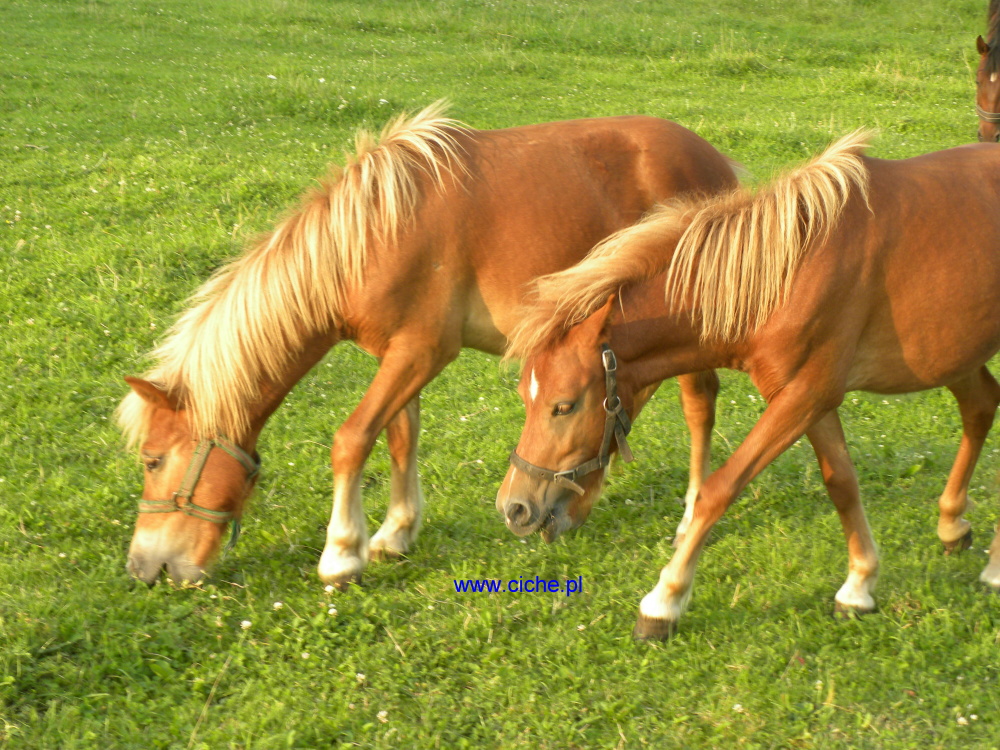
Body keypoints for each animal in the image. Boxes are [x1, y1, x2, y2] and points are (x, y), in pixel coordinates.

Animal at [116, 102, 740, 587]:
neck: (371, 236)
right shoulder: (396, 354)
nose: (143, 568)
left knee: (698, 404)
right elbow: (399, 437)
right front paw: (395, 532)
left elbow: (352, 440)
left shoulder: (421, 352)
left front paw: (341, 554)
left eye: (153, 461)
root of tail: (716, 161)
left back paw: (688, 514)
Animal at [500, 132, 1000, 640]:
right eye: (525, 397)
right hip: (954, 355)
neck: (789, 272)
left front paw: (664, 602)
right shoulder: (806, 396)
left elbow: (718, 489)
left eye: (564, 406)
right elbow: (841, 482)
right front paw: (859, 586)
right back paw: (952, 524)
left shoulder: (806, 394)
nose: (515, 507)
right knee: (981, 406)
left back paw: (993, 566)